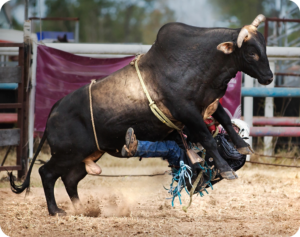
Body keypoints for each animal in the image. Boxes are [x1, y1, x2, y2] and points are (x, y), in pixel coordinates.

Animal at [11, 18, 274, 216]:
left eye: (263, 49)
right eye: (251, 53)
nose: (269, 77)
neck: (197, 62)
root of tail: (55, 110)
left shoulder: (207, 104)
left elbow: (226, 120)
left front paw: (242, 146)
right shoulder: (188, 112)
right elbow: (208, 139)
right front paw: (227, 169)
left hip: (84, 156)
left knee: (70, 180)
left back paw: (82, 208)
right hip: (67, 154)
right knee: (47, 174)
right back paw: (56, 210)